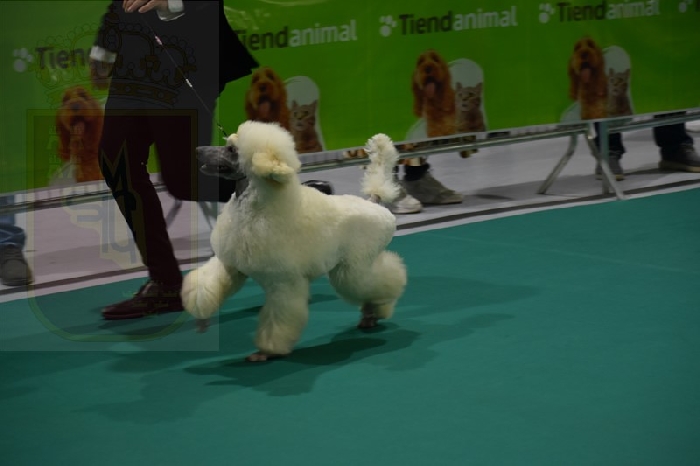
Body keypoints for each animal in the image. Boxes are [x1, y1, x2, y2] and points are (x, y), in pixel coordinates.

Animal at [182, 121, 407, 362]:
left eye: (232, 150)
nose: (197, 150)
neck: (256, 208)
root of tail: (374, 202)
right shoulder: (230, 264)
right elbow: (208, 282)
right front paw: (200, 312)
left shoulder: (283, 282)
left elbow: (279, 318)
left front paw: (266, 351)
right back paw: (369, 315)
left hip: (354, 266)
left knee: (384, 279)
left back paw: (379, 307)